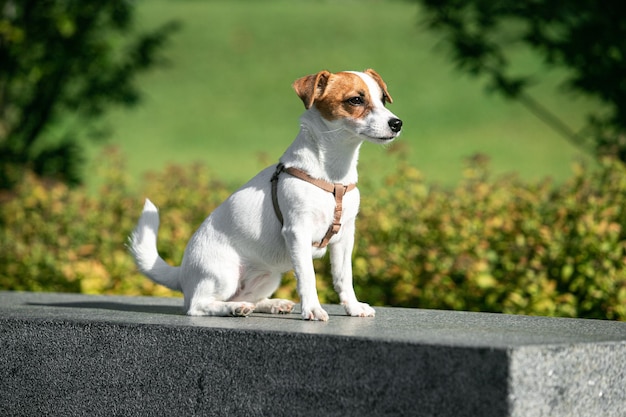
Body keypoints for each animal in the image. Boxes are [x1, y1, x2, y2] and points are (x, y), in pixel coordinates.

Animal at [128, 70, 400, 320]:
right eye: (356, 100)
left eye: (383, 100)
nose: (397, 123)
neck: (332, 177)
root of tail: (182, 271)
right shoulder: (297, 233)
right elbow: (307, 277)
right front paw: (312, 309)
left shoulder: (344, 238)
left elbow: (344, 276)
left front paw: (353, 307)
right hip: (224, 274)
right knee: (198, 305)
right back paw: (233, 308)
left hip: (270, 276)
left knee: (248, 297)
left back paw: (269, 304)